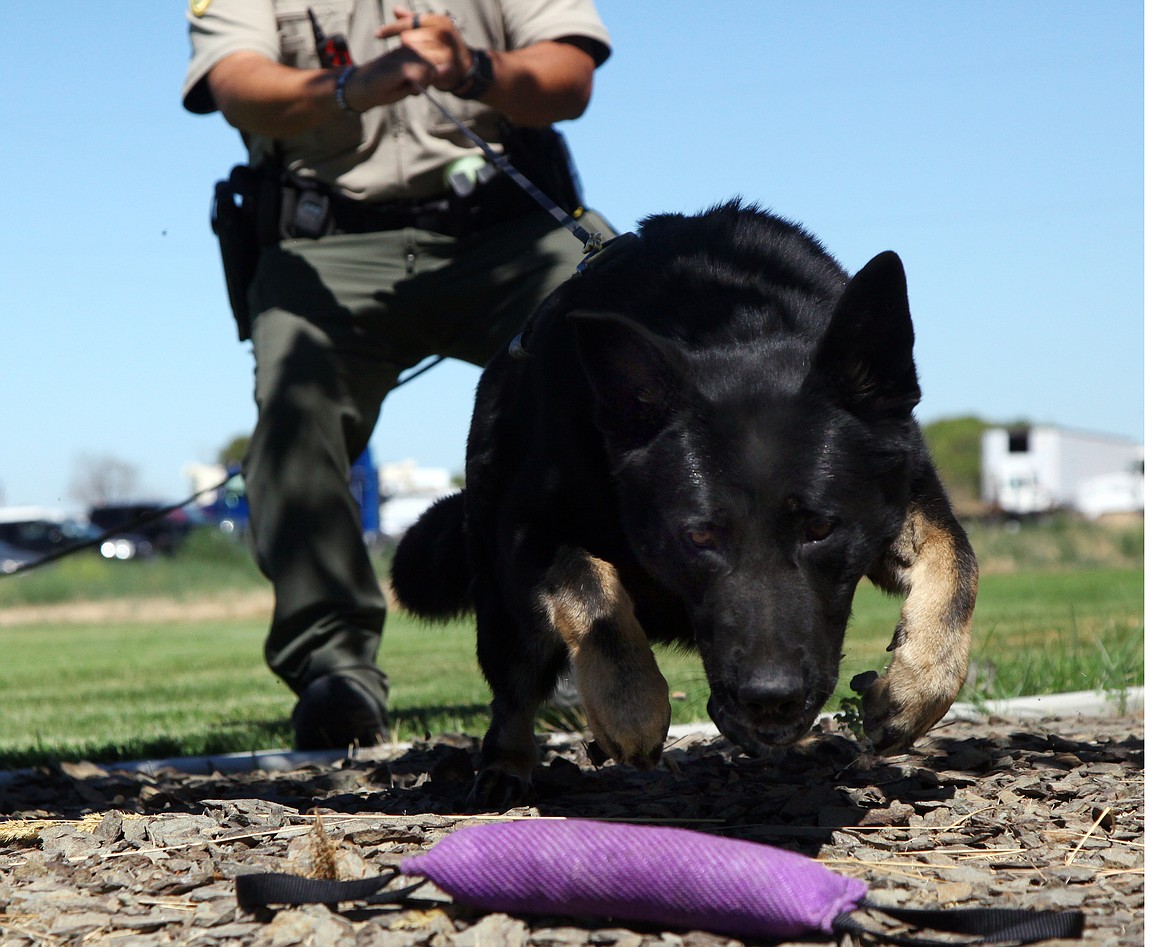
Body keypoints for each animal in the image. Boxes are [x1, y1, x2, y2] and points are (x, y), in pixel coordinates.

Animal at [393, 201, 978, 805]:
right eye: (698, 536)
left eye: (820, 527)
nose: (772, 695)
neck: (735, 323)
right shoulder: (533, 531)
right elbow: (594, 598)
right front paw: (631, 711)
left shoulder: (909, 499)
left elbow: (958, 565)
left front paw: (914, 688)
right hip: (505, 605)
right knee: (514, 691)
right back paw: (504, 768)